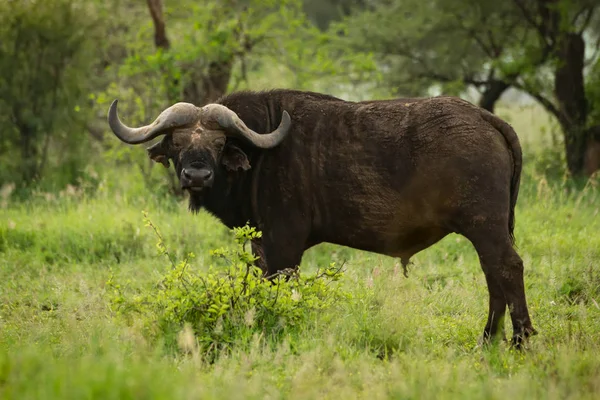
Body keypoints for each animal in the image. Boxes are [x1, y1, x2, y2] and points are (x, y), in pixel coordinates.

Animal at [108, 89, 540, 346]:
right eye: (178, 141)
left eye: (217, 142)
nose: (196, 175)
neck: (261, 152)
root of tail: (486, 119)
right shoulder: (261, 244)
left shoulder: (284, 246)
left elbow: (281, 288)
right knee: (493, 274)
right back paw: (489, 339)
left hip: (485, 227)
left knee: (507, 267)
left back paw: (519, 339)